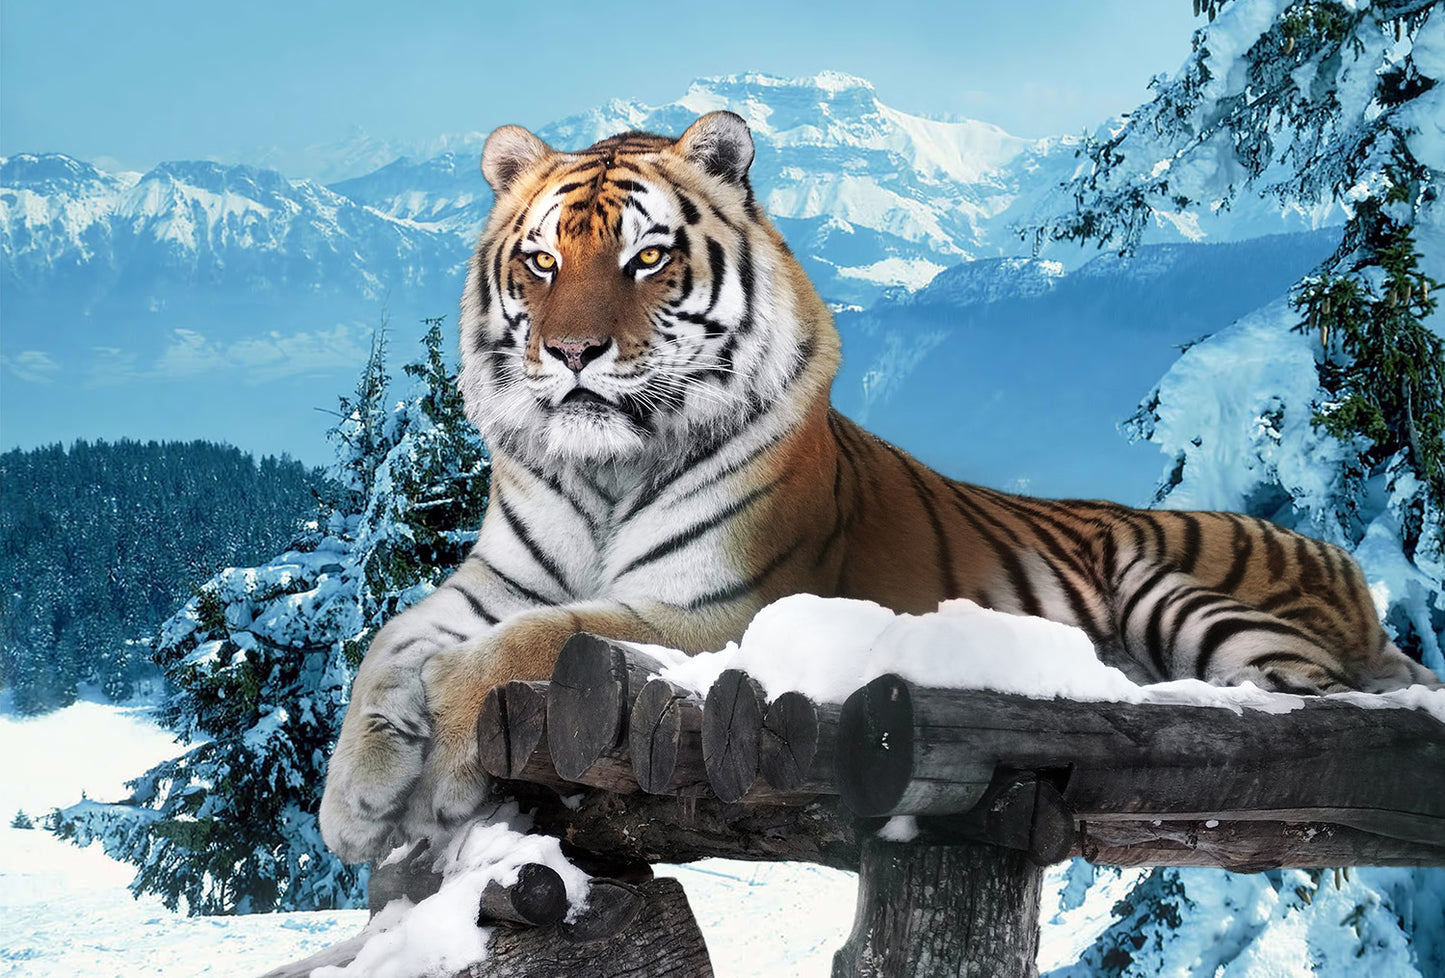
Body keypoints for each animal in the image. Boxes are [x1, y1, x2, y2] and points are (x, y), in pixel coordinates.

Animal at [318, 110, 1440, 864]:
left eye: (647, 259)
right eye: (542, 262)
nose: (572, 353)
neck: (603, 471)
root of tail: (1353, 575)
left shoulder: (722, 608)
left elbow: (532, 642)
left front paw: (443, 773)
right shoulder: (494, 582)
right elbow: (394, 642)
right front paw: (355, 803)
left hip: (1176, 593)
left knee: (1291, 699)